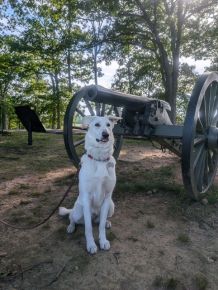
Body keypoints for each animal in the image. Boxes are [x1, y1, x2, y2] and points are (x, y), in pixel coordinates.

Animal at [58, 115, 119, 254]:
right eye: (97, 124)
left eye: (108, 125)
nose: (106, 134)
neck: (100, 159)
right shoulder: (86, 197)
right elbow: (88, 228)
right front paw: (91, 245)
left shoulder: (107, 197)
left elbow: (100, 226)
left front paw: (103, 241)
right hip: (78, 211)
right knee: (72, 217)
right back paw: (71, 227)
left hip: (111, 206)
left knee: (99, 220)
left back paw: (107, 222)